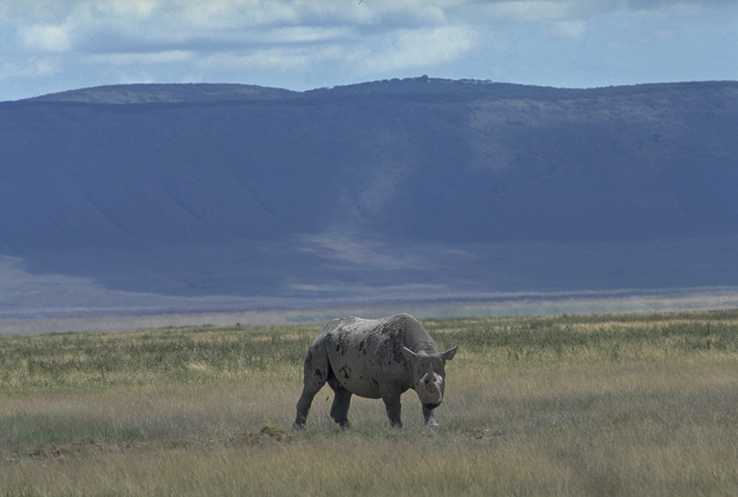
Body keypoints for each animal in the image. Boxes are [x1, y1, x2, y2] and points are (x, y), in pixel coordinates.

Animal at [293, 313, 457, 429]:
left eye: (443, 381)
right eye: (419, 382)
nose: (433, 403)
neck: (421, 350)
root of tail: (323, 329)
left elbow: (422, 403)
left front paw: (432, 426)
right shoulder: (388, 382)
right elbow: (393, 404)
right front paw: (398, 429)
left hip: (338, 346)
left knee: (343, 390)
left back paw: (348, 429)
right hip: (318, 347)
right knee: (313, 384)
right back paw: (299, 429)